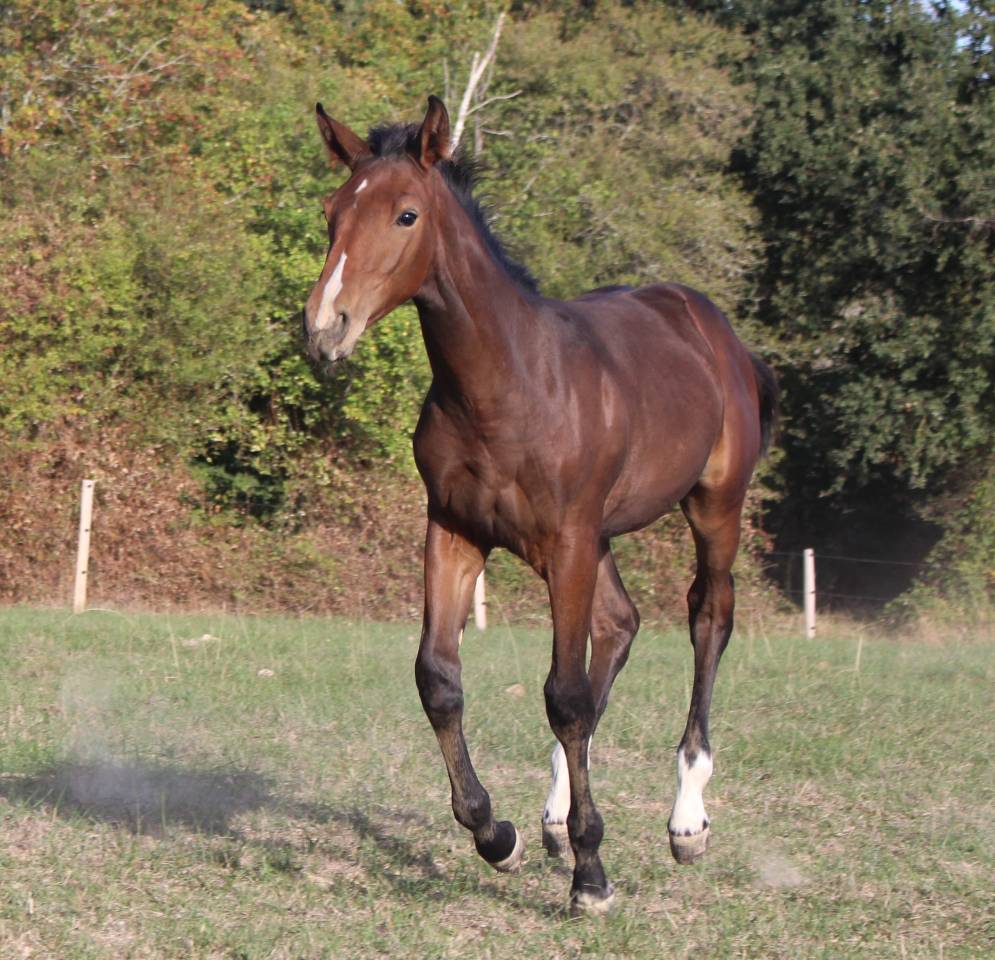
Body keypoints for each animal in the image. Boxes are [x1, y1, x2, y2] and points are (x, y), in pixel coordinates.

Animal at [302, 96, 778, 916]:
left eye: (405, 215)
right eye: (333, 212)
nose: (324, 327)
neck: (508, 384)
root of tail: (721, 336)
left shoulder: (567, 541)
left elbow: (564, 695)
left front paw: (592, 873)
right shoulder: (455, 531)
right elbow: (441, 679)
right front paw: (499, 835)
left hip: (712, 506)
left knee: (708, 618)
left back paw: (686, 819)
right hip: (602, 536)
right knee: (619, 626)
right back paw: (557, 816)